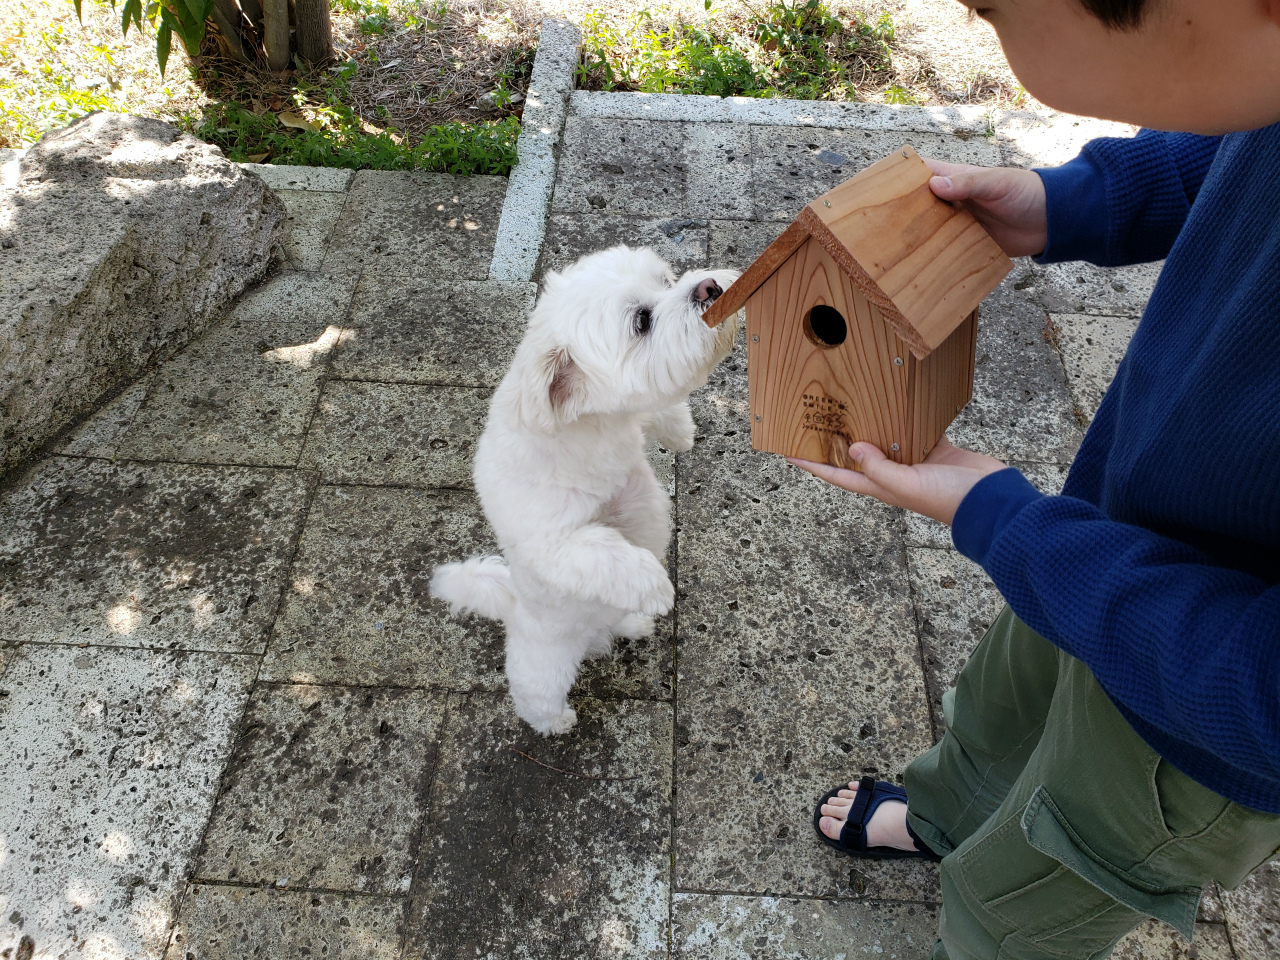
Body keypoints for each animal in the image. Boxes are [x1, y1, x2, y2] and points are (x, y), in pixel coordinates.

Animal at [427, 244, 737, 732]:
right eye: (642, 321)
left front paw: (680, 432)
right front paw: (656, 585)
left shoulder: (627, 417)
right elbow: (607, 552)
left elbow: (655, 412)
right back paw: (555, 721)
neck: (591, 430)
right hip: (546, 664)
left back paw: (633, 623)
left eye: (665, 280)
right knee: (536, 695)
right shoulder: (554, 543)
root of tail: (513, 606)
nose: (708, 288)